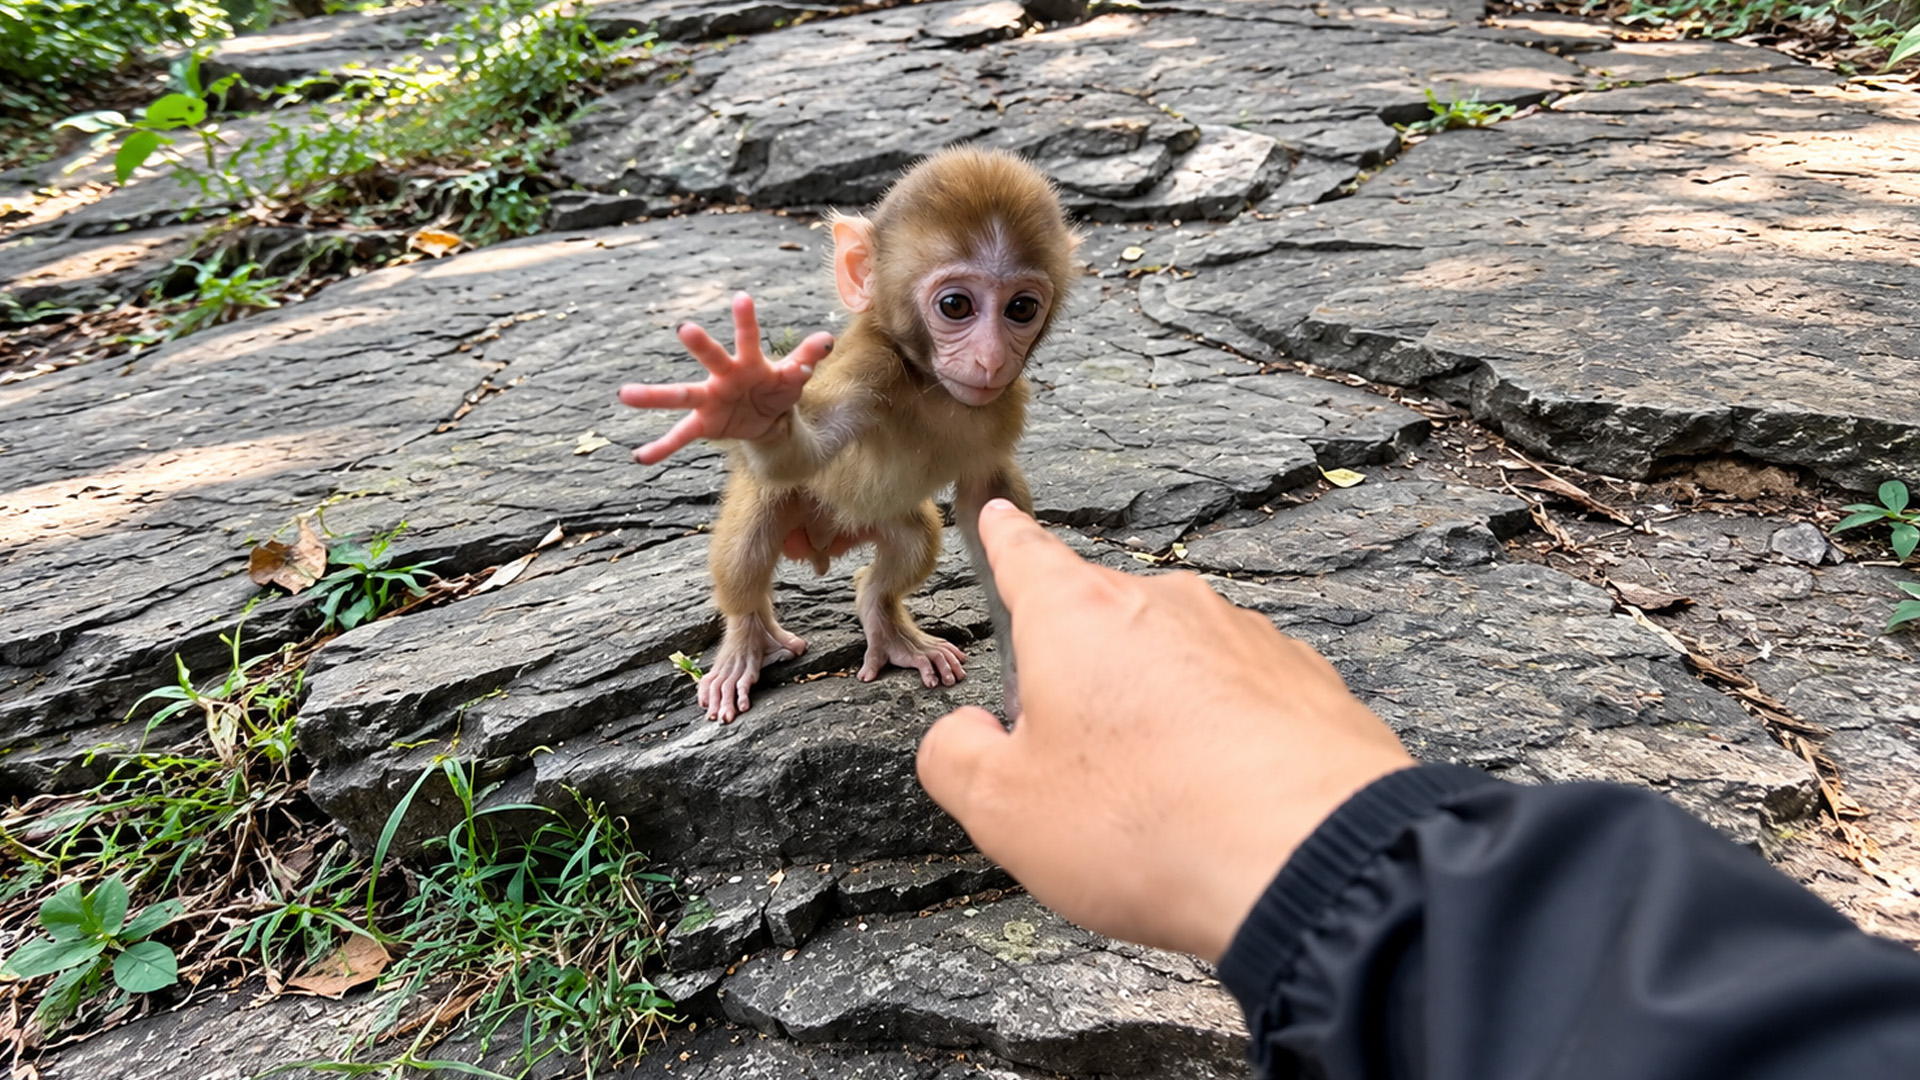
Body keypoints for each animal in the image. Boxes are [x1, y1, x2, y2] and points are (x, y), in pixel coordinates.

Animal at [618, 146, 1080, 723]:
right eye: (956, 306)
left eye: (1021, 308)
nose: (992, 359)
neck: (931, 384)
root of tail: (824, 542)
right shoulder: (871, 368)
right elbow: (804, 450)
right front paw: (748, 400)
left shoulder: (1003, 406)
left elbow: (989, 508)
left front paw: (1027, 679)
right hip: (783, 502)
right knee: (752, 536)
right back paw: (748, 639)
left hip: (884, 520)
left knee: (911, 544)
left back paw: (884, 618)